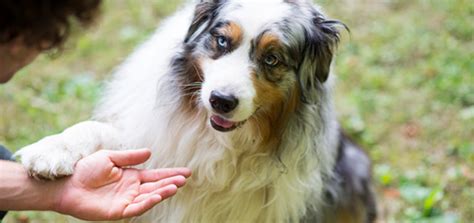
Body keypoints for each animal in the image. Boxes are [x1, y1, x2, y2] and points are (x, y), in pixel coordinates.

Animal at [14, 0, 376, 222]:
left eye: (272, 58)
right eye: (222, 41)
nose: (221, 101)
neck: (217, 140)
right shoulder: (154, 141)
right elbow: (95, 129)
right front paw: (51, 151)